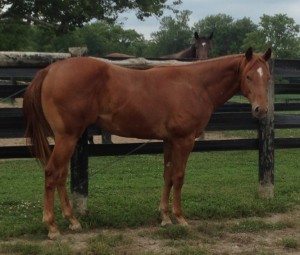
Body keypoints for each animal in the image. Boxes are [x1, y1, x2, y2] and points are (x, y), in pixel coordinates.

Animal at [23, 46, 272, 239]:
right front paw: (180, 218)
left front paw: (165, 217)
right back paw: (52, 227)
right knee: (52, 173)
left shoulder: (169, 141)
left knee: (60, 175)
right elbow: (179, 177)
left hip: (68, 138)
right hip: (67, 137)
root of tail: (51, 69)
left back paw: (72, 220)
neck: (195, 84)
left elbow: (167, 175)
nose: (260, 110)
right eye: (249, 76)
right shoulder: (184, 141)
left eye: (267, 77)